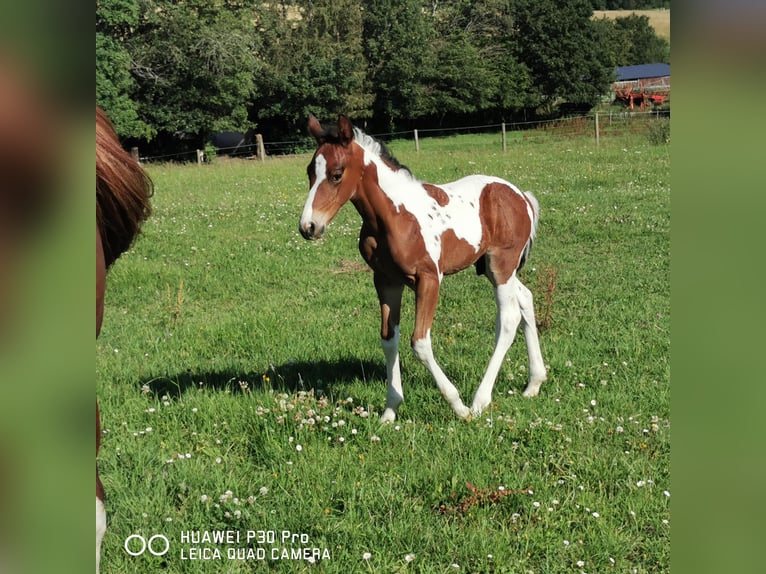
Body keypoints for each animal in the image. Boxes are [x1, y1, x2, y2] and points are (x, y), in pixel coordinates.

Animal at [299, 115, 546, 423]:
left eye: (336, 174)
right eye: (310, 171)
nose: (308, 227)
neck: (395, 216)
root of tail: (521, 196)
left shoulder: (429, 279)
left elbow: (420, 342)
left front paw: (458, 406)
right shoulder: (386, 280)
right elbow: (388, 339)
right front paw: (389, 411)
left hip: (502, 265)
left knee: (509, 319)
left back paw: (479, 401)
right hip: (494, 268)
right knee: (525, 299)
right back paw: (534, 383)